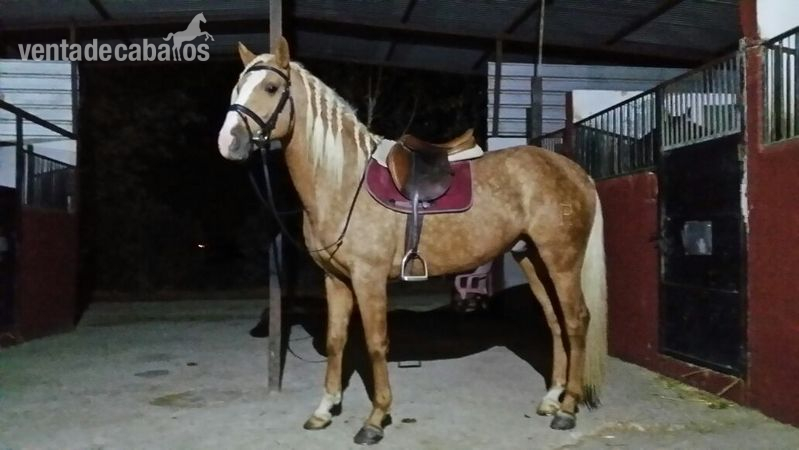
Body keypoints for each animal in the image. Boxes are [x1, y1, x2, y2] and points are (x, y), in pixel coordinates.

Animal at [217, 38, 607, 445]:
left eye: (271, 88)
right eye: (237, 87)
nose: (228, 142)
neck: (343, 182)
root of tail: (574, 170)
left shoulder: (368, 279)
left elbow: (376, 343)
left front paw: (375, 420)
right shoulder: (336, 280)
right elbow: (336, 340)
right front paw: (324, 409)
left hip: (561, 260)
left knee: (576, 320)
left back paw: (567, 409)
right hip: (531, 258)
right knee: (554, 320)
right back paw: (551, 397)